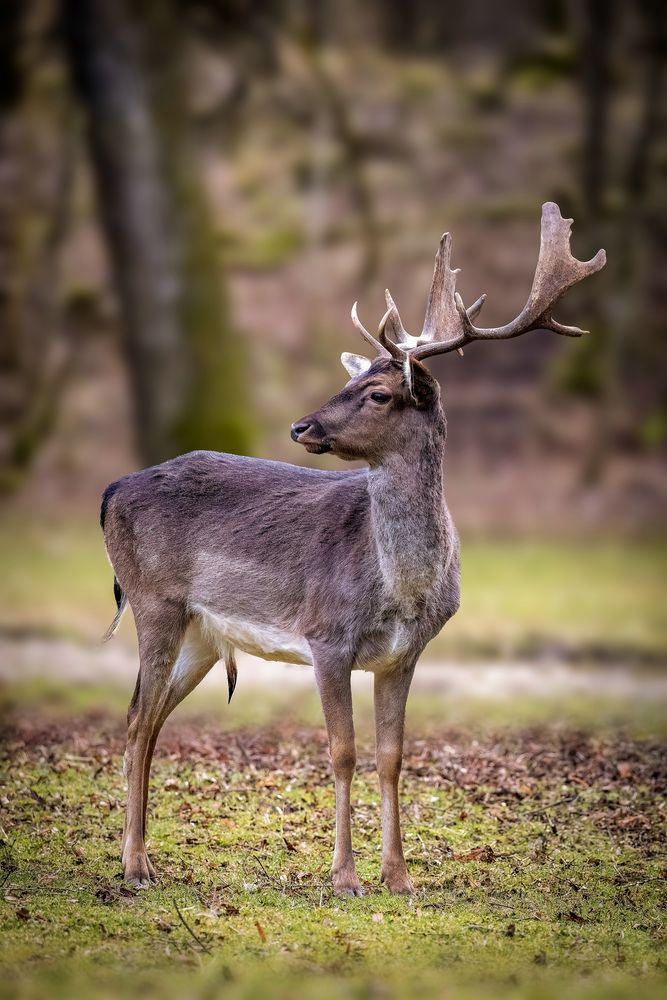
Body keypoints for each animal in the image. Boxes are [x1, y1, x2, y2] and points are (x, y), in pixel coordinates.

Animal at [103, 201, 604, 892]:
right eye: (358, 378)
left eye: (378, 393)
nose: (301, 425)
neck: (399, 587)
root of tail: (113, 490)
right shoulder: (326, 635)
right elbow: (342, 753)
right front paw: (344, 876)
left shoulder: (404, 655)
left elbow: (391, 757)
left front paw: (399, 876)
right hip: (154, 599)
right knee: (133, 719)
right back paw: (132, 866)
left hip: (203, 631)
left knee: (149, 721)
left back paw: (147, 858)